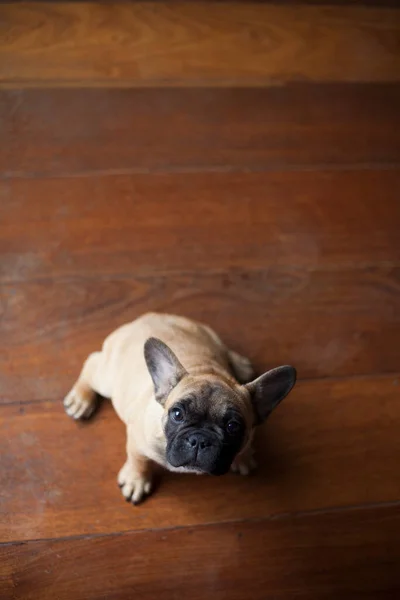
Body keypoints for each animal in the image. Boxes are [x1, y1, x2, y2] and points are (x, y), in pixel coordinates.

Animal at [64, 312, 296, 504]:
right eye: (177, 414)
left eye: (233, 426)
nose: (200, 440)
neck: (206, 371)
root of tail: (146, 317)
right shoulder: (137, 441)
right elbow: (139, 460)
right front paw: (136, 480)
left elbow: (245, 445)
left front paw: (244, 457)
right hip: (107, 379)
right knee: (92, 364)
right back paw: (81, 399)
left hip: (209, 334)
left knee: (224, 349)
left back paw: (239, 364)